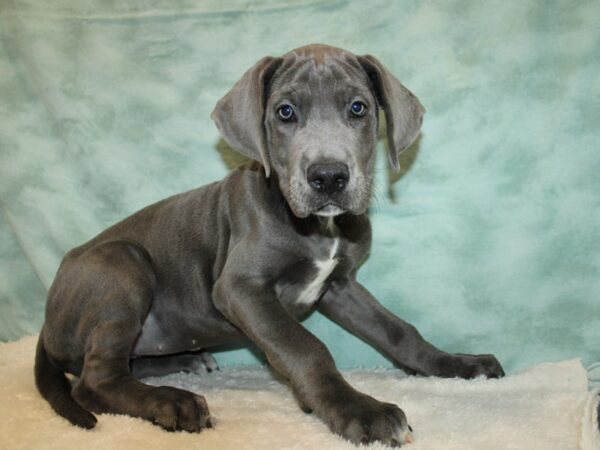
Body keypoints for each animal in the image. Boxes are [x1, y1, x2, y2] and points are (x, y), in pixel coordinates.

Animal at [34, 44, 502, 444]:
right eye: (285, 112)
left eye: (358, 108)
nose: (329, 176)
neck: (319, 227)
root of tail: (47, 320)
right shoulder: (239, 288)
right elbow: (308, 348)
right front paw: (358, 410)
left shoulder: (341, 285)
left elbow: (399, 331)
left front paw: (456, 364)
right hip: (123, 261)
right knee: (94, 381)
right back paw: (172, 402)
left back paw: (184, 363)